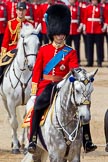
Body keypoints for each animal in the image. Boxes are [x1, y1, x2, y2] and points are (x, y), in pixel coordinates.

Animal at [0, 23, 41, 154]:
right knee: (10, 118)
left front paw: (27, 146)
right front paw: (15, 147)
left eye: (38, 43)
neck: (23, 74)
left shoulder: (30, 100)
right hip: (4, 101)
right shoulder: (10, 101)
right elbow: (13, 122)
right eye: (25, 43)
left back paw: (22, 142)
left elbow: (27, 121)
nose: (32, 65)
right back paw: (16, 143)